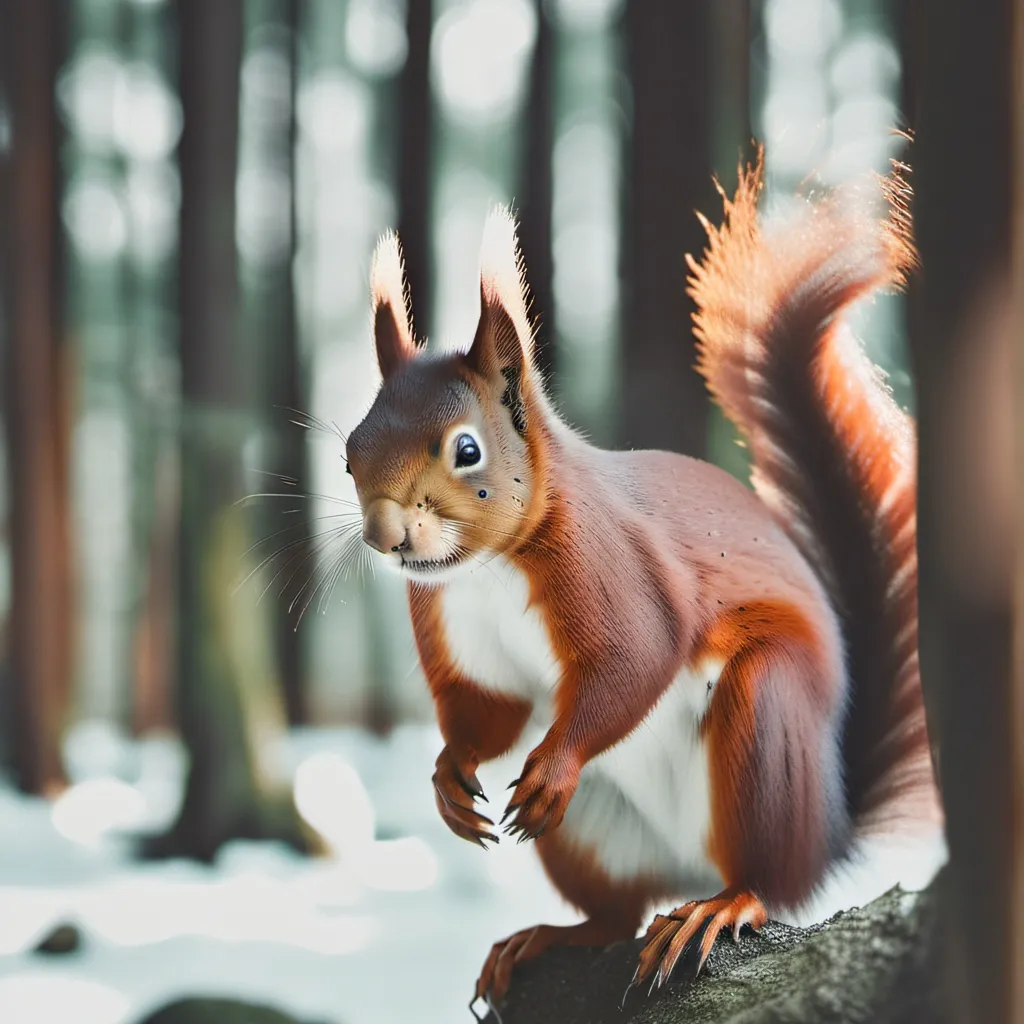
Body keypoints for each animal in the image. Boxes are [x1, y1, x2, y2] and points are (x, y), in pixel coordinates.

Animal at [344, 150, 944, 1009]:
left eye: (466, 450)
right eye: (350, 451)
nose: (386, 537)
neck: (487, 571)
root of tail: (825, 827)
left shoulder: (613, 564)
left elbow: (636, 658)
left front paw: (551, 764)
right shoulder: (451, 623)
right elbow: (489, 708)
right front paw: (448, 777)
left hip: (766, 726)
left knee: (769, 880)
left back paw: (721, 907)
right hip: (596, 833)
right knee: (617, 916)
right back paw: (549, 936)